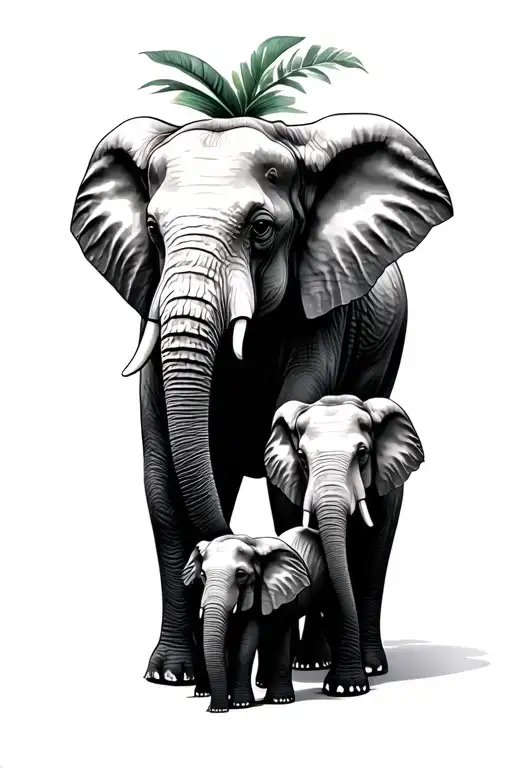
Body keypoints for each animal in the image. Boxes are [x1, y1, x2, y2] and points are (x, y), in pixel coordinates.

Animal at [182, 527, 332, 712]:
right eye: (202, 575)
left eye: (240, 574)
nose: (215, 709)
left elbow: (247, 641)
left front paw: (240, 704)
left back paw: (281, 699)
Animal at [264, 394, 424, 694]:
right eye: (301, 457)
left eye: (362, 454)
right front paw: (346, 685)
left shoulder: (386, 491)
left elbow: (373, 560)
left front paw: (362, 675)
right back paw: (312, 664)